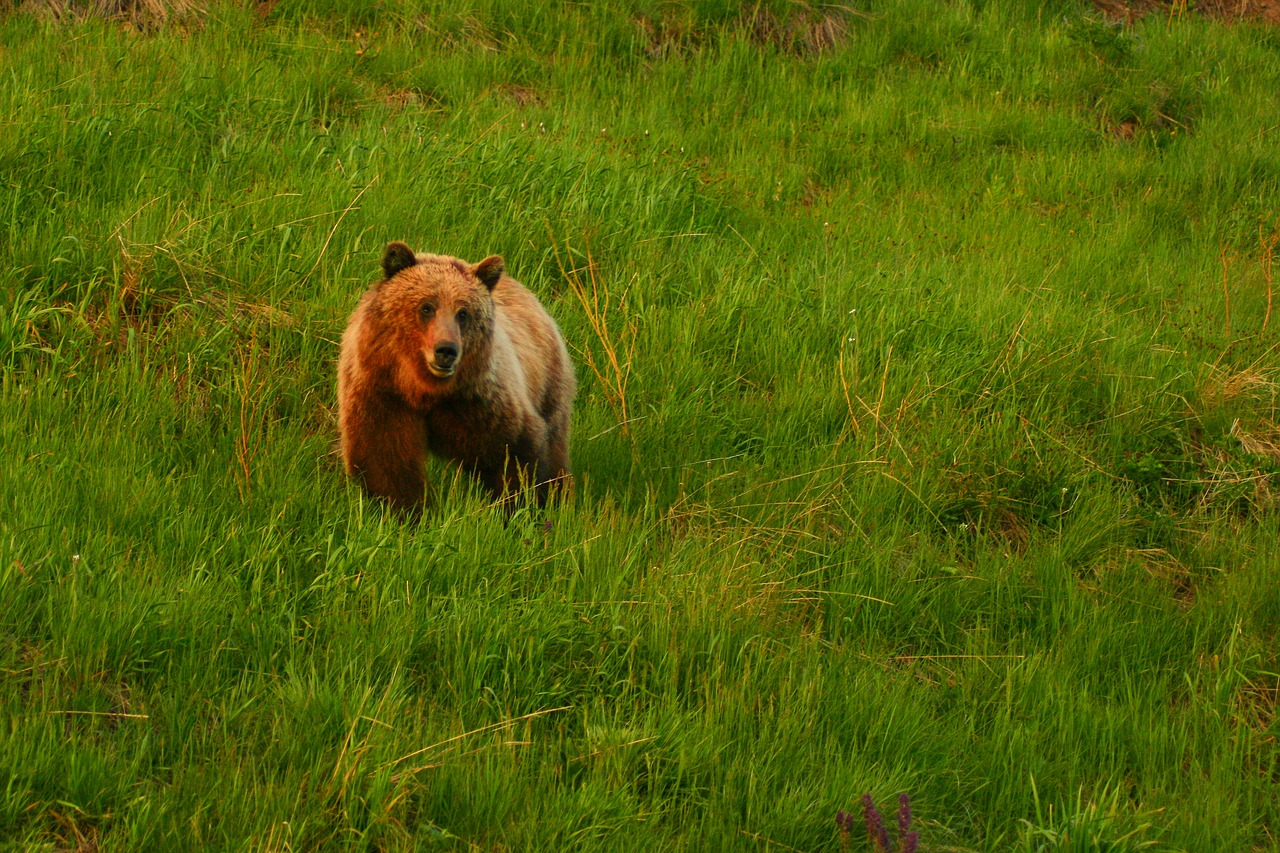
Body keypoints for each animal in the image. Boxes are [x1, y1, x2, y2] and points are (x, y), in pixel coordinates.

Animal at [340, 242, 581, 514]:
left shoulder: (479, 400)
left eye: (463, 313)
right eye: (427, 307)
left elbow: (514, 450)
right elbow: (386, 459)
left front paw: (516, 506)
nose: (446, 350)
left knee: (555, 443)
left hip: (549, 380)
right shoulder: (382, 391)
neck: (424, 389)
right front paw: (405, 510)